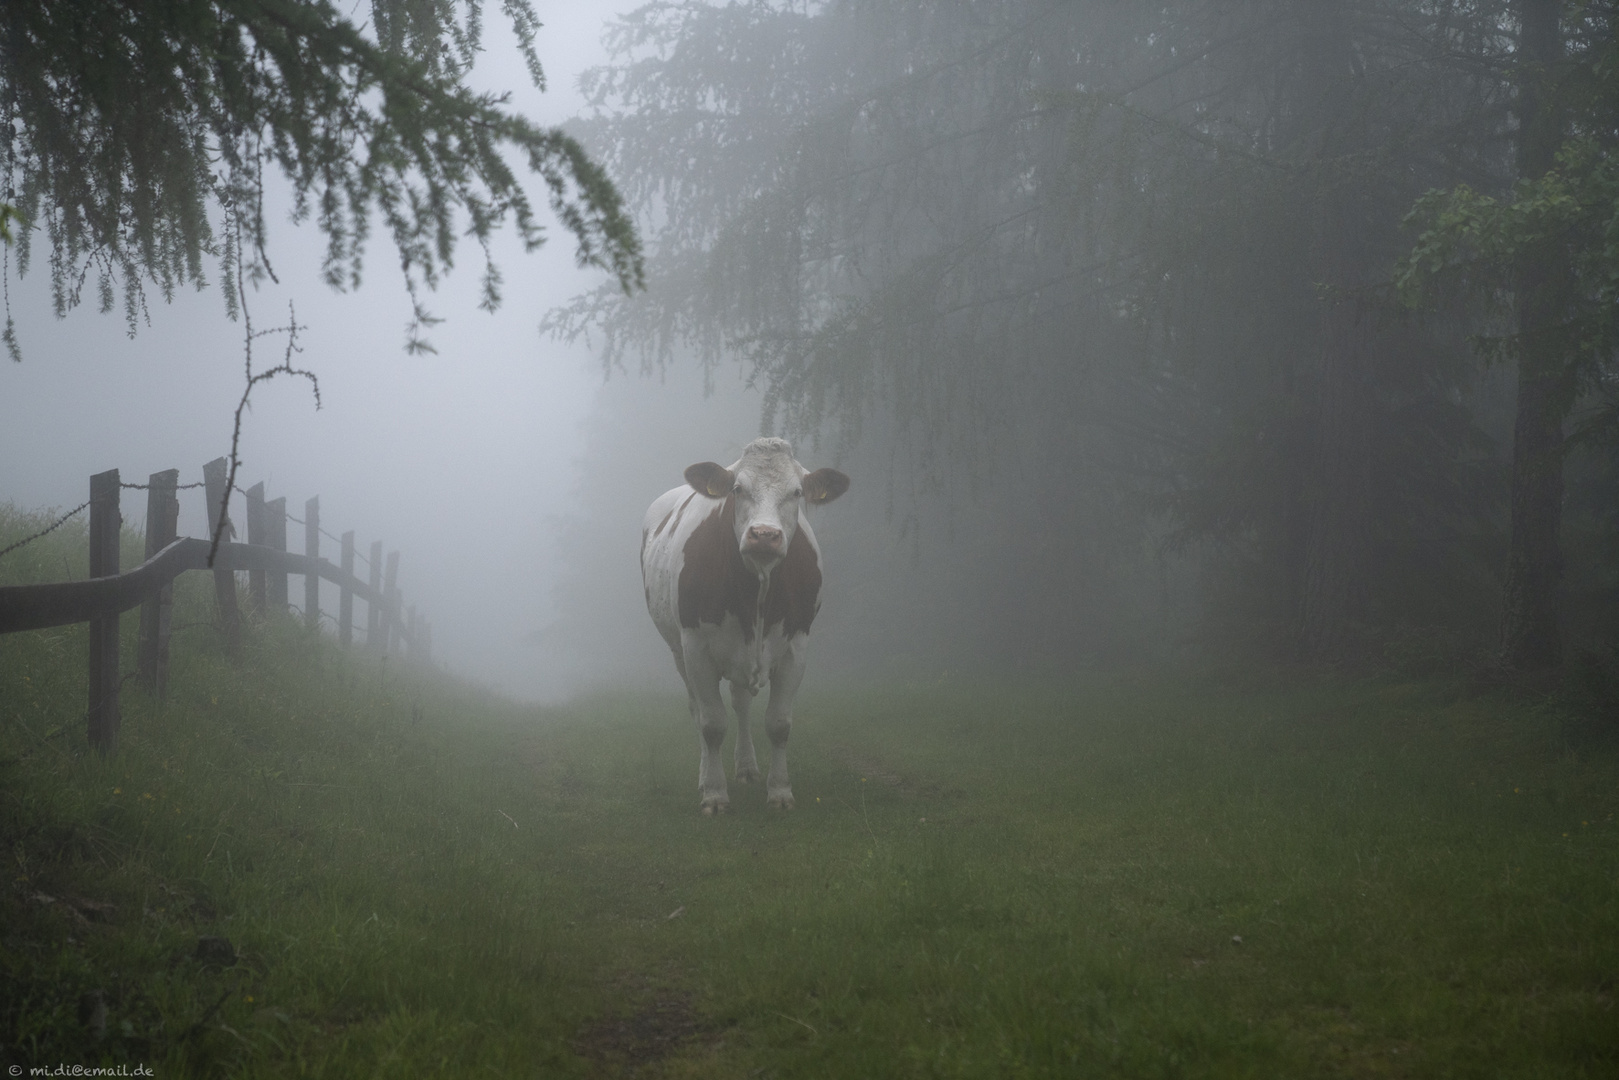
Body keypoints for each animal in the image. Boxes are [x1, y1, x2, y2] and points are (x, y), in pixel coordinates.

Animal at [637, 433, 854, 816]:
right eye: (737, 489)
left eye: (797, 492)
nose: (764, 535)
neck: (758, 592)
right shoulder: (696, 648)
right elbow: (711, 724)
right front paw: (714, 794)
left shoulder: (796, 646)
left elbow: (779, 724)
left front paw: (780, 791)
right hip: (678, 649)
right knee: (697, 710)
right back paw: (705, 775)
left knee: (740, 704)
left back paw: (747, 767)